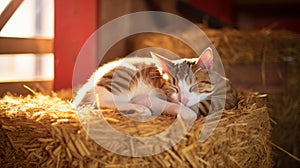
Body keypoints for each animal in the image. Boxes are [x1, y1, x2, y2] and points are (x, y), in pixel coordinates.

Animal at [73, 47, 237, 120]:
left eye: (194, 86)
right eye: (174, 87)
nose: (182, 99)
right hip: (125, 75)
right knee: (104, 101)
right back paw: (139, 107)